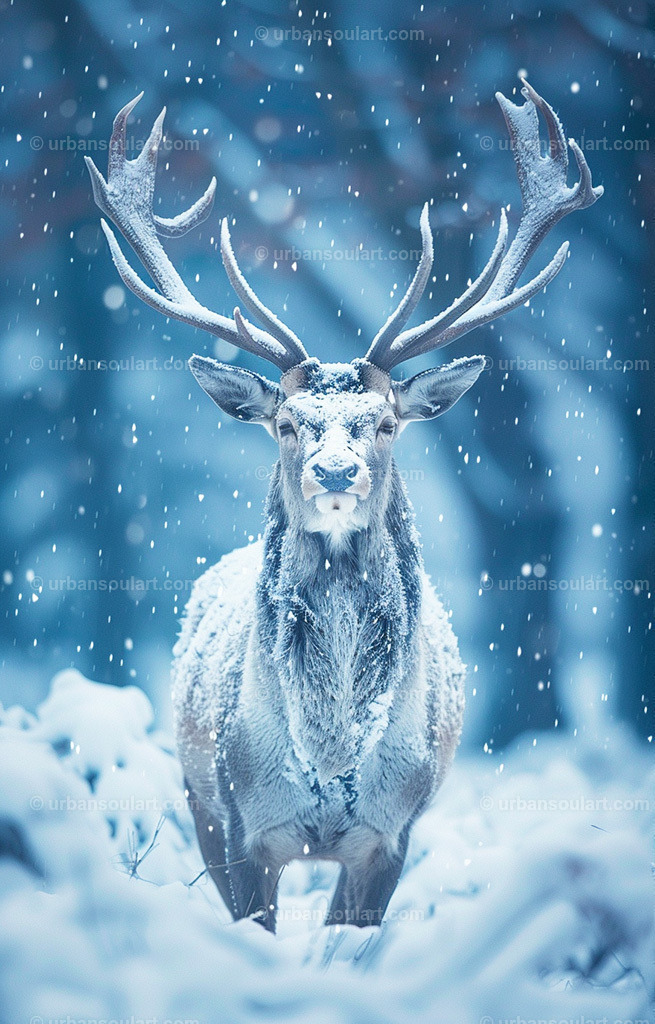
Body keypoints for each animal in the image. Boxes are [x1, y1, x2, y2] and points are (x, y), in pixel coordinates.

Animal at [86, 81, 602, 932]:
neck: (329, 757)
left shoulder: (391, 831)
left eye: (386, 422)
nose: (334, 473)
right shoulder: (242, 820)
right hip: (193, 795)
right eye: (287, 424)